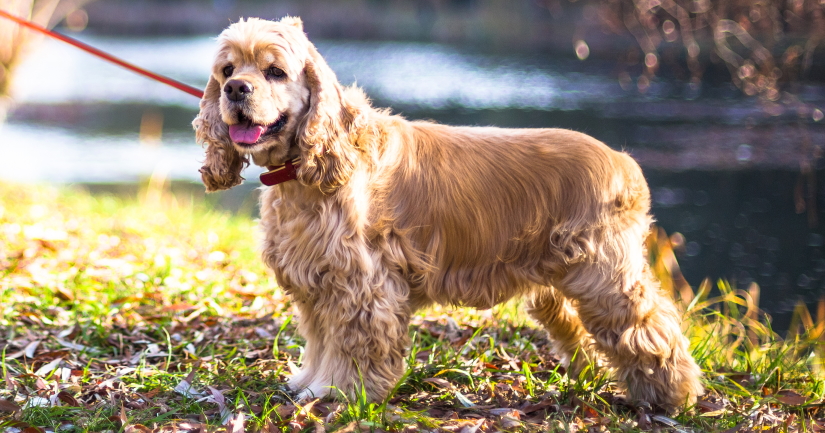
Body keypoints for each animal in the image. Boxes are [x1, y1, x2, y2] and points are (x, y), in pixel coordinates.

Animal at [193, 16, 700, 408]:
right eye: (227, 68)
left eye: (275, 71)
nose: (235, 89)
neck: (306, 169)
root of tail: (624, 163)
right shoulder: (315, 281)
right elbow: (320, 341)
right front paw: (310, 382)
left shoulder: (361, 284)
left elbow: (354, 347)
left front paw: (341, 392)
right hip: (558, 286)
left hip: (604, 277)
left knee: (651, 330)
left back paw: (673, 397)